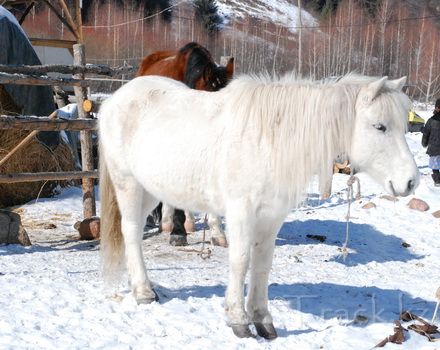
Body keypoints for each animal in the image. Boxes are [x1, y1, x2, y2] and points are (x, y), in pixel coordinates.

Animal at [99, 72, 420, 338]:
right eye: (380, 127)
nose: (411, 182)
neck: (270, 141)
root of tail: (114, 100)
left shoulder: (271, 217)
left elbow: (262, 265)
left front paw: (262, 319)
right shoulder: (241, 213)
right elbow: (240, 262)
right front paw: (239, 320)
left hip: (150, 189)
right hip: (128, 184)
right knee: (130, 232)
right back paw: (142, 291)